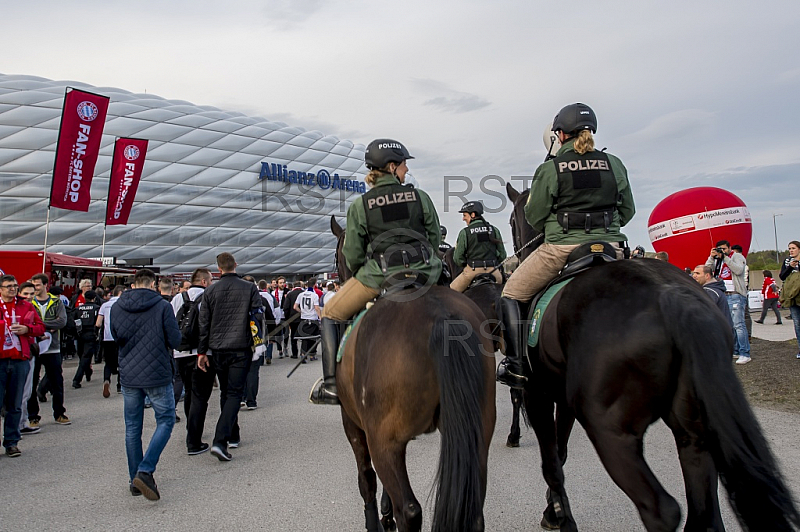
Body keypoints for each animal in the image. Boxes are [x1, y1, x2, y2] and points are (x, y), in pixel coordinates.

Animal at [330, 216, 494, 532]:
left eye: (336, 254)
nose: (339, 276)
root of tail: (442, 316)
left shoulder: (354, 425)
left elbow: (366, 479)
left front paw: (376, 519)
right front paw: (384, 512)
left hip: (384, 441)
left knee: (408, 510)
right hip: (477, 432)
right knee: (475, 511)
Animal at [510, 181, 796, 528]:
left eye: (512, 221)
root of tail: (672, 294)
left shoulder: (536, 394)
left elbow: (551, 462)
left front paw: (559, 517)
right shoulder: (561, 399)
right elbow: (560, 453)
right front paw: (556, 510)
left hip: (610, 429)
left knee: (661, 509)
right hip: (693, 435)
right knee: (704, 514)